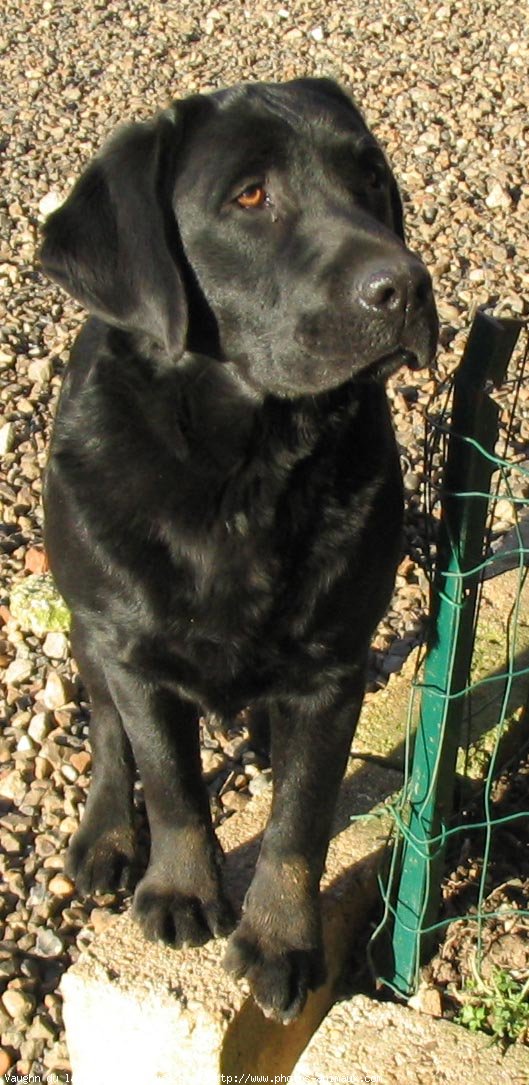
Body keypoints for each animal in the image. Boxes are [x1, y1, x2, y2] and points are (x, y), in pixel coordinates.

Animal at [40, 76, 437, 1015]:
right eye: (249, 197)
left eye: (370, 180)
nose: (405, 286)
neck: (243, 476)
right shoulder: (130, 649)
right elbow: (170, 780)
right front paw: (181, 890)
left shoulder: (333, 666)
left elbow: (299, 820)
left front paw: (278, 941)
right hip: (85, 623)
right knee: (106, 730)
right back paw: (107, 837)